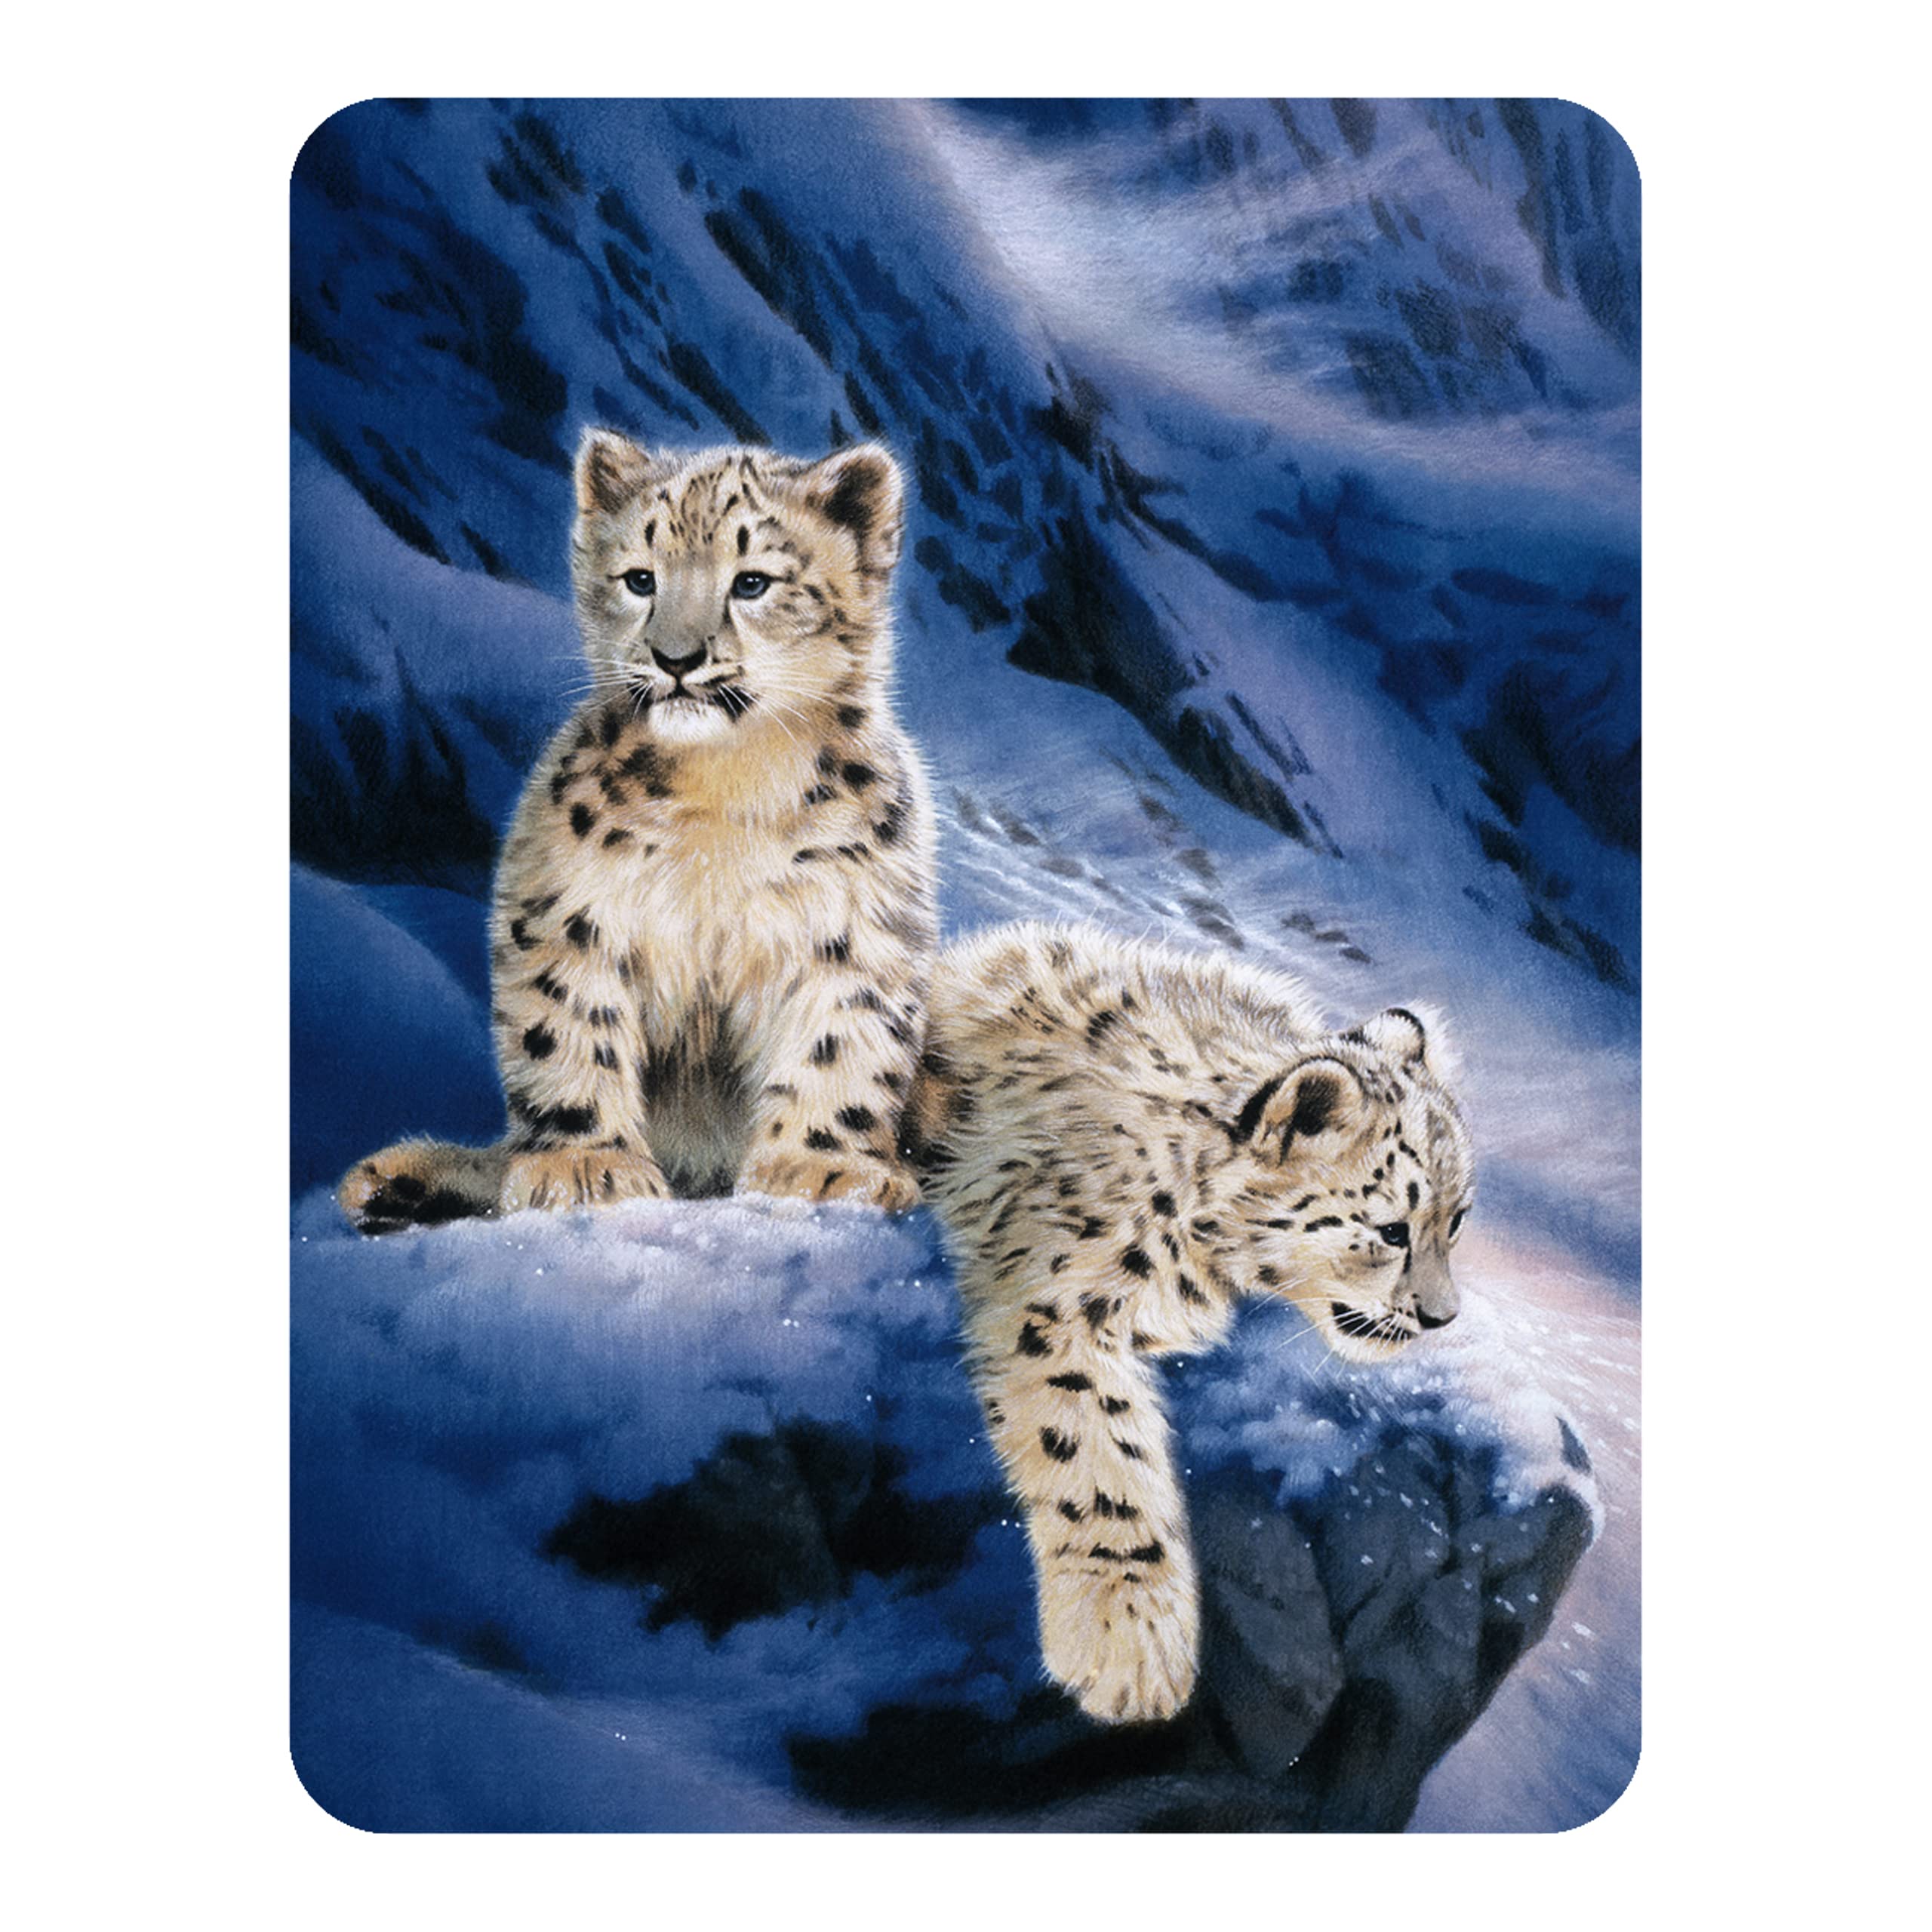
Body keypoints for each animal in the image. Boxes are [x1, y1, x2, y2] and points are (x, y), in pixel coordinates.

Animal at [339, 430, 937, 1231]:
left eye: (753, 582)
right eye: (640, 579)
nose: (675, 658)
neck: (726, 788)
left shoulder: (854, 925)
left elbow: (840, 1043)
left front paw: (822, 1169)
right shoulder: (571, 905)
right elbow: (566, 1025)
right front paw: (585, 1168)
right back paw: (397, 1183)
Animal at [901, 919, 1474, 1725]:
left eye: (1458, 1220)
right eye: (1392, 1230)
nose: (1441, 1316)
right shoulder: (1059, 1298)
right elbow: (1098, 1444)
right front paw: (1131, 1634)